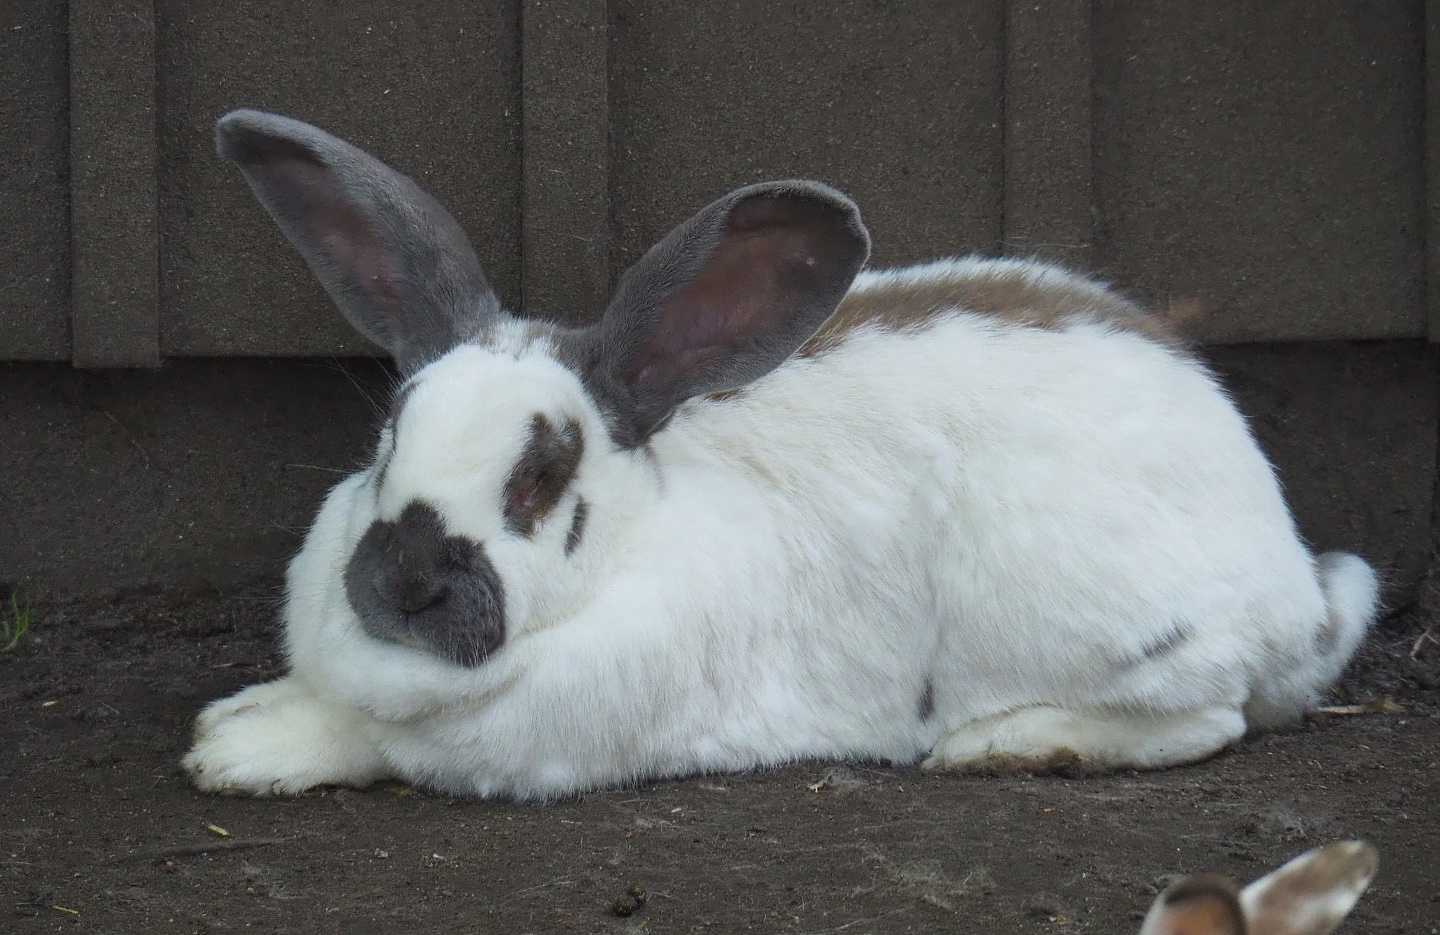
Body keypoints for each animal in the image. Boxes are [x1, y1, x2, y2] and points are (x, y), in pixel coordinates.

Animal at [182, 109, 1380, 799]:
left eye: (542, 475)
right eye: (390, 433)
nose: (406, 581)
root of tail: (1292, 577)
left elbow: (371, 739)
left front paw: (241, 748)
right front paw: (235, 719)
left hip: (1102, 629)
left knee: (1208, 719)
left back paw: (1006, 745)